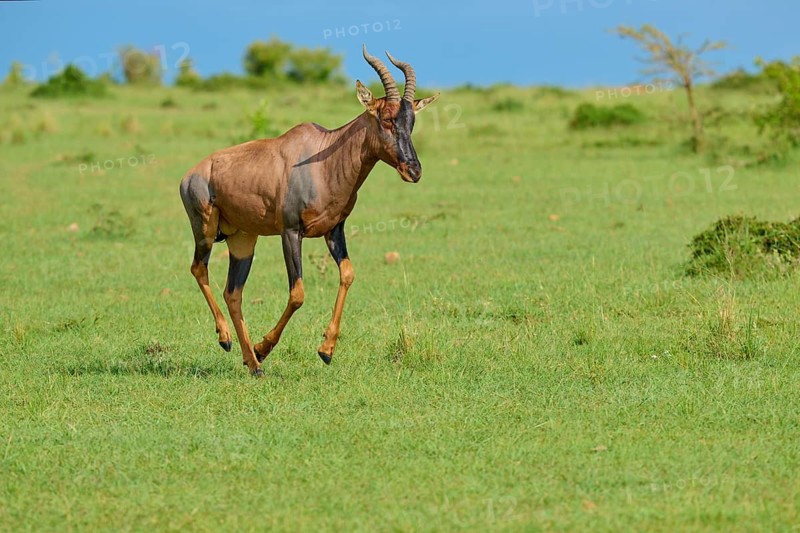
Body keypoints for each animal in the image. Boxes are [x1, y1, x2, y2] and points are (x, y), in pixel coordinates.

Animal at [179, 46, 439, 375]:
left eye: (411, 122)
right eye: (386, 118)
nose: (414, 171)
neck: (323, 159)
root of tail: (190, 174)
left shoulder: (334, 230)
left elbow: (348, 274)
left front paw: (326, 350)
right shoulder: (290, 232)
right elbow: (298, 293)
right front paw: (266, 347)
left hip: (243, 240)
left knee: (233, 293)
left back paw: (252, 363)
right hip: (205, 229)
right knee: (198, 269)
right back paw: (227, 340)